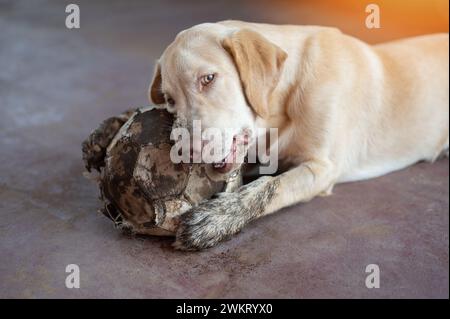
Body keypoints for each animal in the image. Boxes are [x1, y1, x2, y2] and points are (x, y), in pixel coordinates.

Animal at [149, 20, 448, 252]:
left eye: (208, 79)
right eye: (169, 100)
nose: (184, 154)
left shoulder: (322, 168)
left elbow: (269, 187)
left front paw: (215, 219)